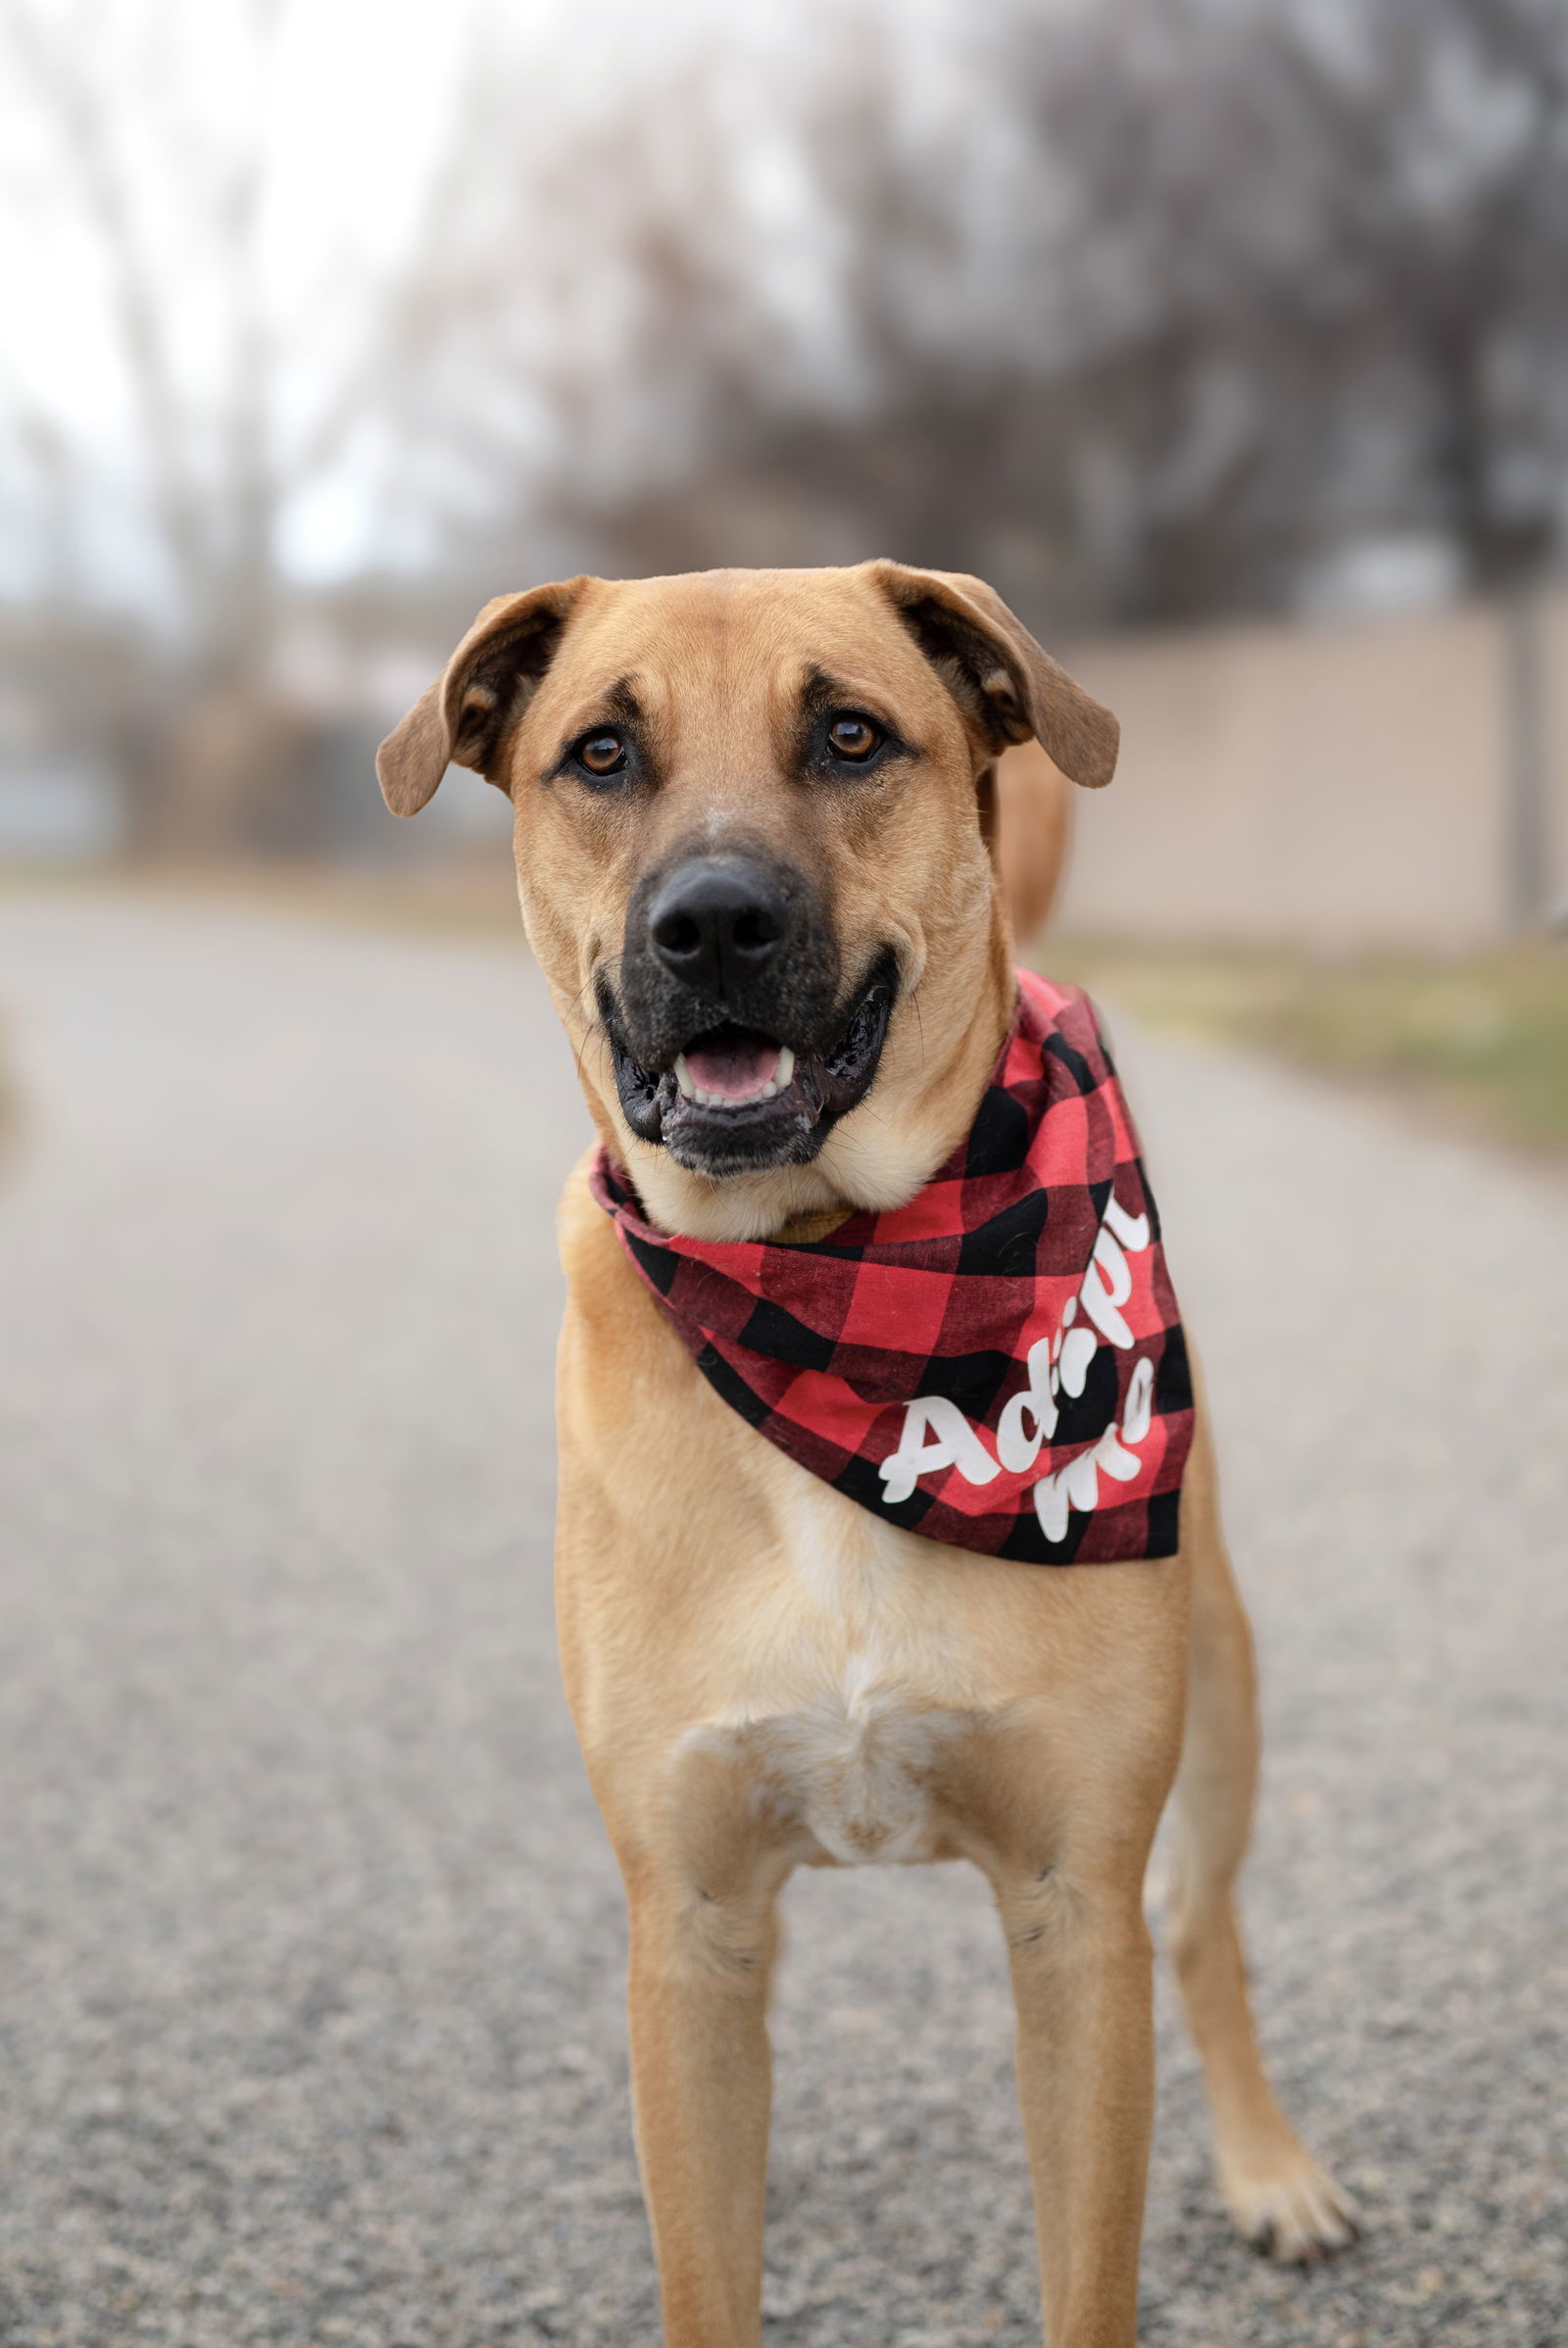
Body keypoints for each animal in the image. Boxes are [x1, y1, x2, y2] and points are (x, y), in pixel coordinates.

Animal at [380, 567, 1361, 2348]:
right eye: (601, 751)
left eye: (849, 734)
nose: (711, 924)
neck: (836, 1281)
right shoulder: (690, 1918)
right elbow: (705, 2259)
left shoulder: (1074, 1908)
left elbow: (1089, 2269)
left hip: (1226, 1687)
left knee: (1204, 1922)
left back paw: (1270, 2166)